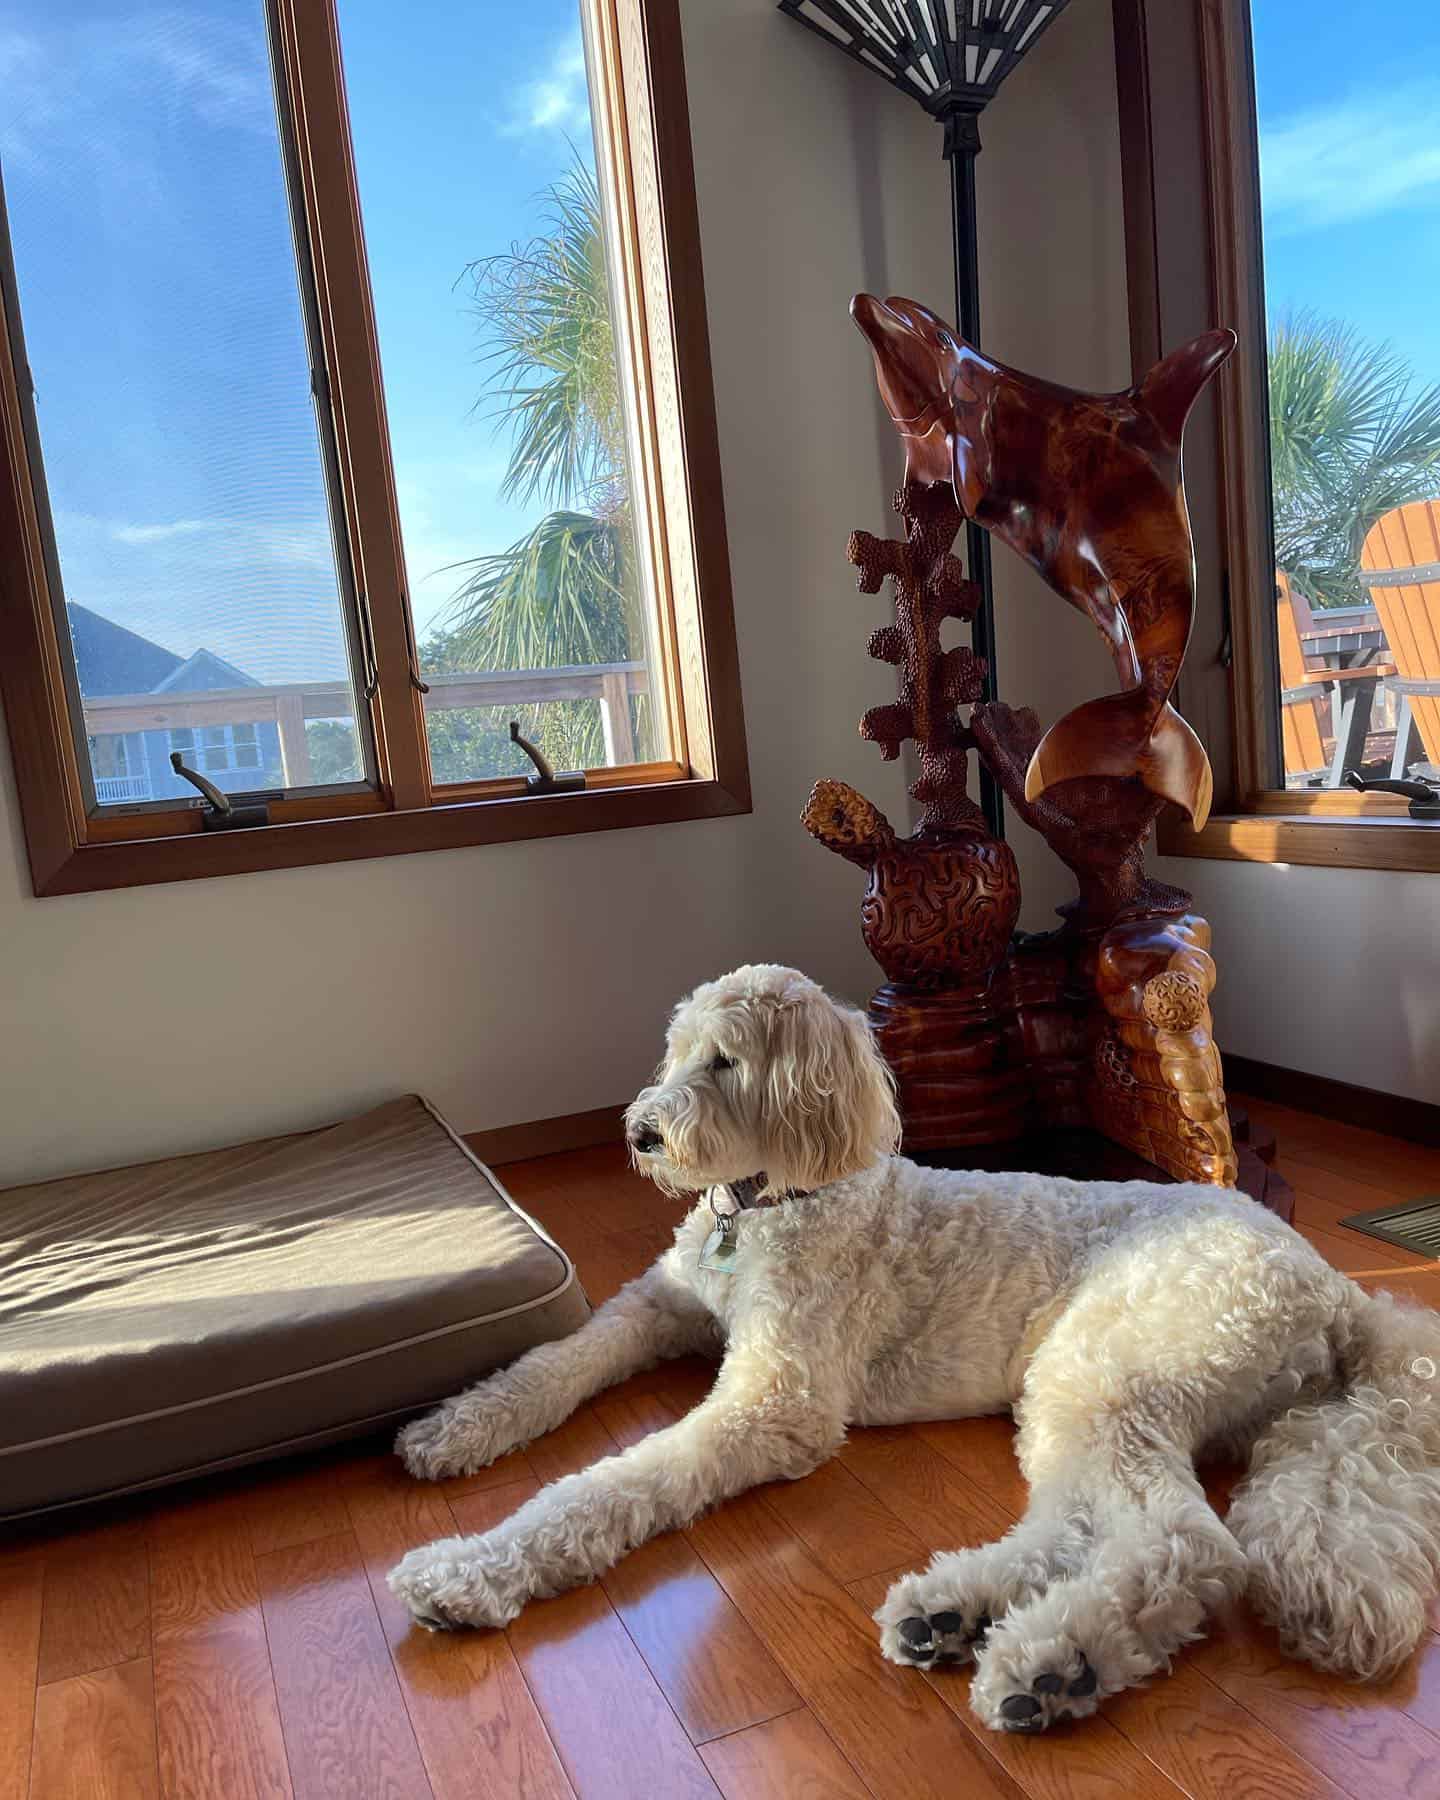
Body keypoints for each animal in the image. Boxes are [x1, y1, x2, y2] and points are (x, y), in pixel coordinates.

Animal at [388, 964, 1440, 1735]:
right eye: (677, 1051)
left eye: (725, 1063)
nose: (642, 1134)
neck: (776, 1202)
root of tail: (1331, 1284)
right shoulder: (655, 1305)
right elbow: (552, 1364)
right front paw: (455, 1425)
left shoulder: (776, 1403)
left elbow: (611, 1483)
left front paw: (471, 1569)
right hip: (1083, 1394)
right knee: (1078, 1522)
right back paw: (955, 1611)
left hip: (1106, 1369)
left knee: (1186, 1543)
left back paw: (1055, 1662)